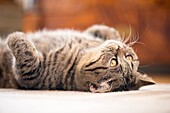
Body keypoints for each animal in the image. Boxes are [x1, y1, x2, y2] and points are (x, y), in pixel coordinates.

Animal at [0, 24, 155, 92]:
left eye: (113, 62)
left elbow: (26, 52)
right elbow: (109, 32)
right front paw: (101, 30)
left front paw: (15, 36)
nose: (119, 48)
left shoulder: (31, 73)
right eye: (129, 57)